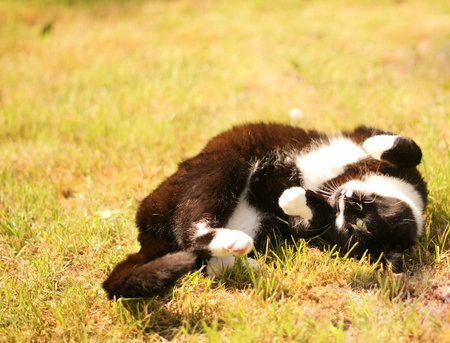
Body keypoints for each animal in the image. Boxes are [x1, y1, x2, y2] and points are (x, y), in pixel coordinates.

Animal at [103, 123, 428, 298]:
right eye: (357, 214)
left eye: (355, 224)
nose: (343, 200)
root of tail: (146, 228)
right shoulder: (374, 142)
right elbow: (409, 147)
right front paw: (376, 144)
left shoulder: (310, 227)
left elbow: (310, 218)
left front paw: (294, 197)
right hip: (224, 162)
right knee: (192, 230)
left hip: (261, 222)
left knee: (200, 253)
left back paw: (244, 258)